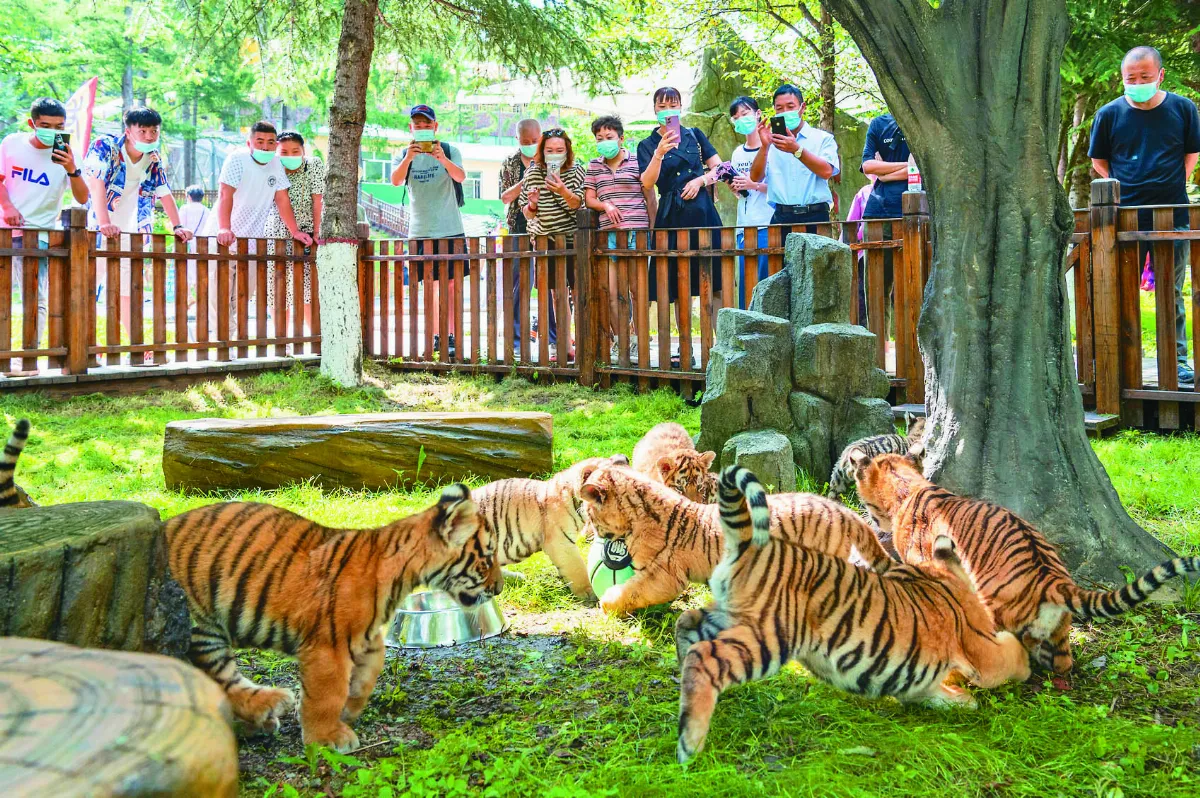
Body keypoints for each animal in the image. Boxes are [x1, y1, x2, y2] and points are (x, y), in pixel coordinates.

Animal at [163, 484, 501, 752]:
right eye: (487, 559)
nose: (499, 587)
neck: (403, 574)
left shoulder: (363, 634)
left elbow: (370, 669)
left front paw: (350, 707)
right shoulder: (329, 643)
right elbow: (327, 692)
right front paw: (327, 736)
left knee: (222, 679)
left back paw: (266, 709)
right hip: (200, 624)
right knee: (215, 675)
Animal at [578, 462, 895, 615]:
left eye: (590, 513)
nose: (595, 535)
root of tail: (843, 511)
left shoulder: (664, 575)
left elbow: (630, 590)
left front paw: (606, 604)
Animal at [674, 493, 1031, 764]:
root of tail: (749, 544)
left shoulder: (919, 680)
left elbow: (931, 691)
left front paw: (961, 700)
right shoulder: (982, 648)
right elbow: (1011, 653)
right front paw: (1020, 667)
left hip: (728, 615)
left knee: (686, 625)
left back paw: (684, 693)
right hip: (770, 635)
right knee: (704, 658)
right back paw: (690, 745)